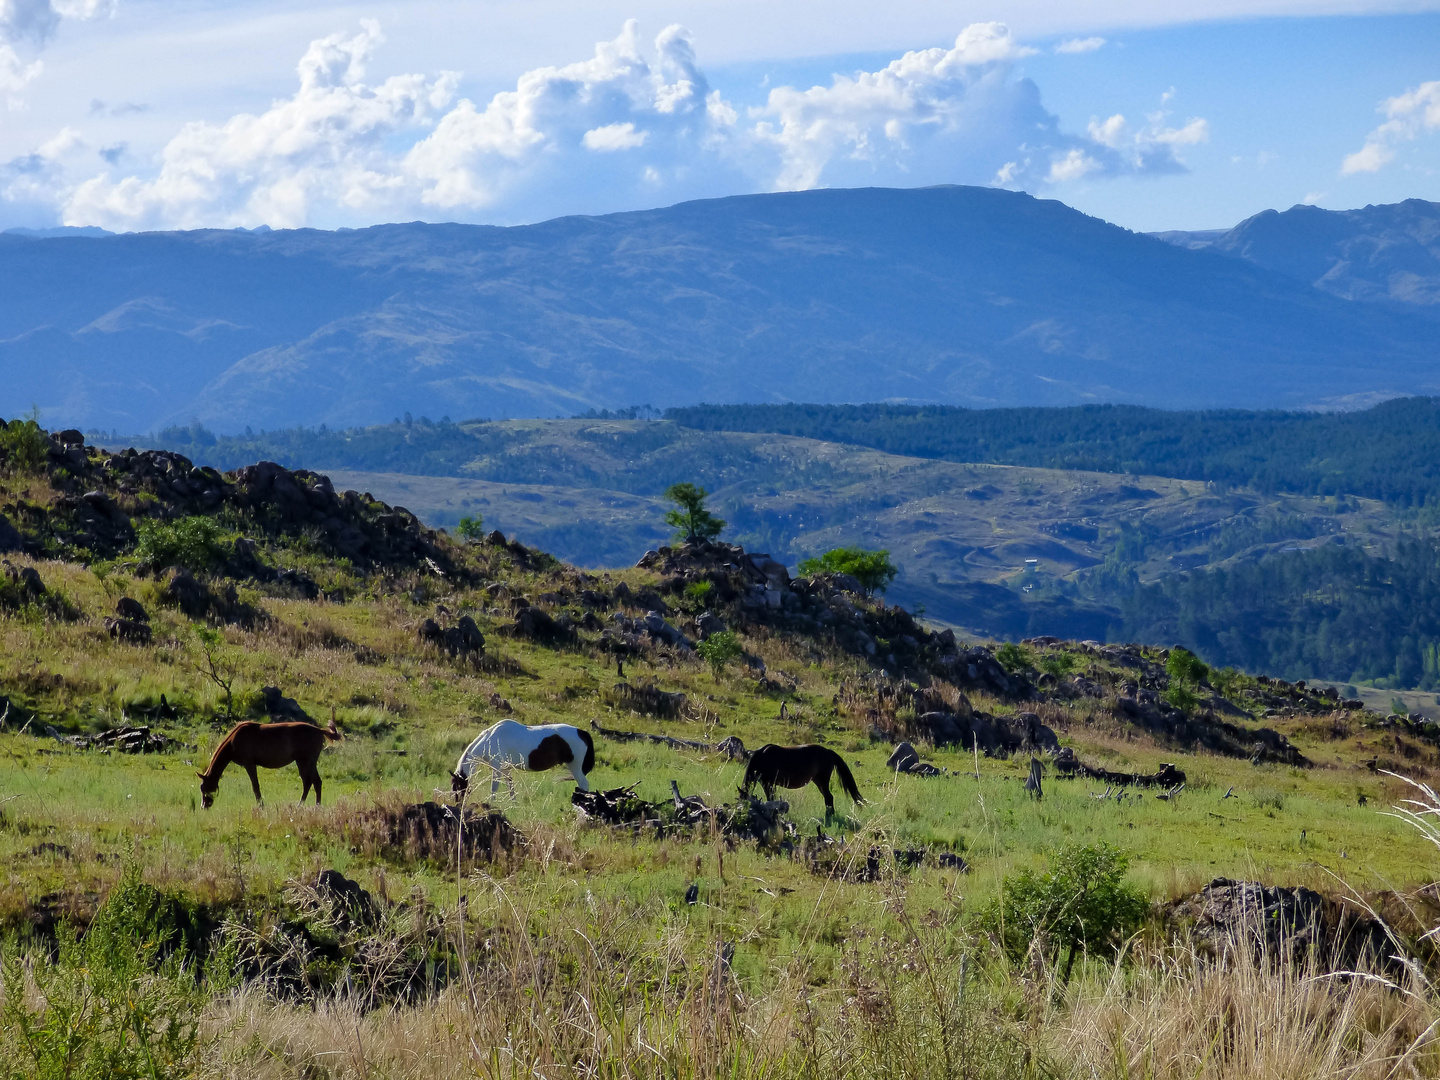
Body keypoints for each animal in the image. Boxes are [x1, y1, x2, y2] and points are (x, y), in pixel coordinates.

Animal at [197, 720, 342, 812]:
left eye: (205, 788)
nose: (204, 806)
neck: (234, 740)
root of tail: (319, 730)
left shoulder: (249, 764)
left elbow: (255, 786)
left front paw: (261, 806)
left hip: (305, 762)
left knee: (309, 782)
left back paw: (303, 806)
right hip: (308, 763)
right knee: (315, 782)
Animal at [455, 722, 601, 800]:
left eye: (456, 785)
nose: (458, 802)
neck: (491, 740)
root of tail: (581, 732)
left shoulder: (497, 768)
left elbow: (494, 788)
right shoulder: (506, 769)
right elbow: (511, 788)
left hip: (575, 767)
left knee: (584, 785)